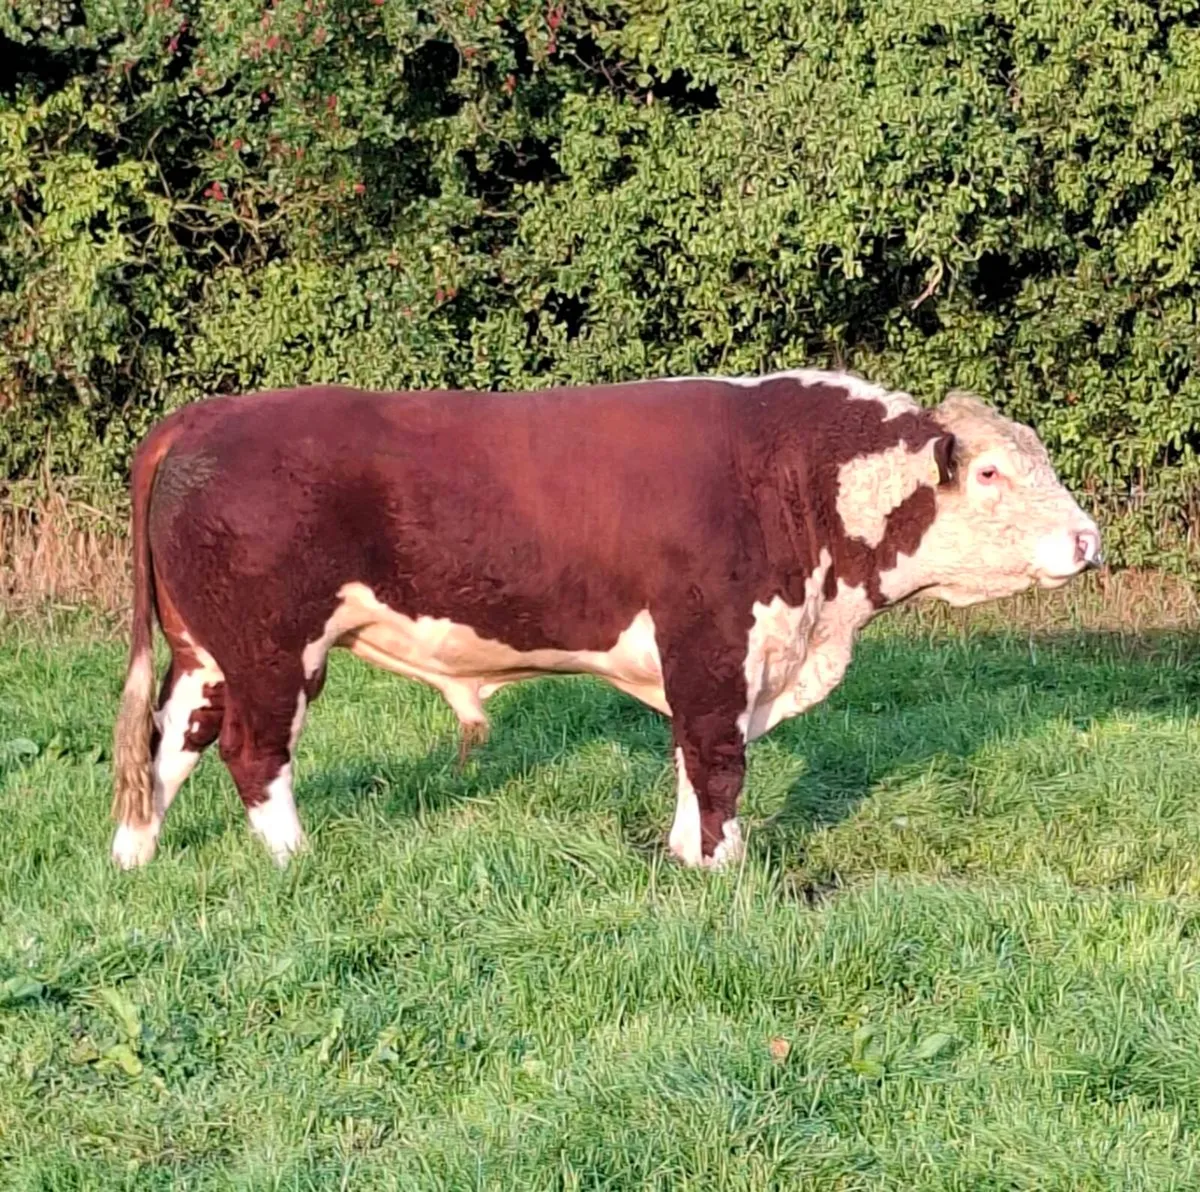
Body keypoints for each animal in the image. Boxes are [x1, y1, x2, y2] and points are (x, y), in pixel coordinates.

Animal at [110, 370, 1101, 870]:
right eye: (991, 473)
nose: (1089, 538)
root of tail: (207, 415)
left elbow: (690, 759)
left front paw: (682, 857)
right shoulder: (712, 644)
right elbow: (717, 763)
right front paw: (720, 868)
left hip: (206, 649)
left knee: (167, 742)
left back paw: (134, 857)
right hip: (272, 647)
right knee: (253, 752)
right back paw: (296, 859)